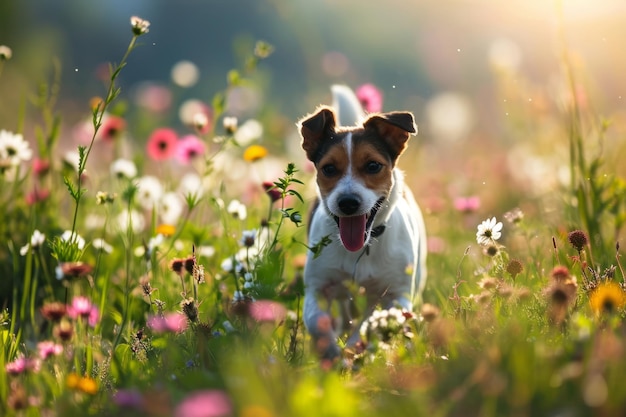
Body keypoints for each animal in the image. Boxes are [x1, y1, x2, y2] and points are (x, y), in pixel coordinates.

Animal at [296, 84, 424, 358]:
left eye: (373, 165)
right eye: (329, 168)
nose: (348, 202)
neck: (361, 250)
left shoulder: (396, 295)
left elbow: (371, 327)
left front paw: (354, 349)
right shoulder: (318, 286)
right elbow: (317, 322)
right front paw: (331, 353)